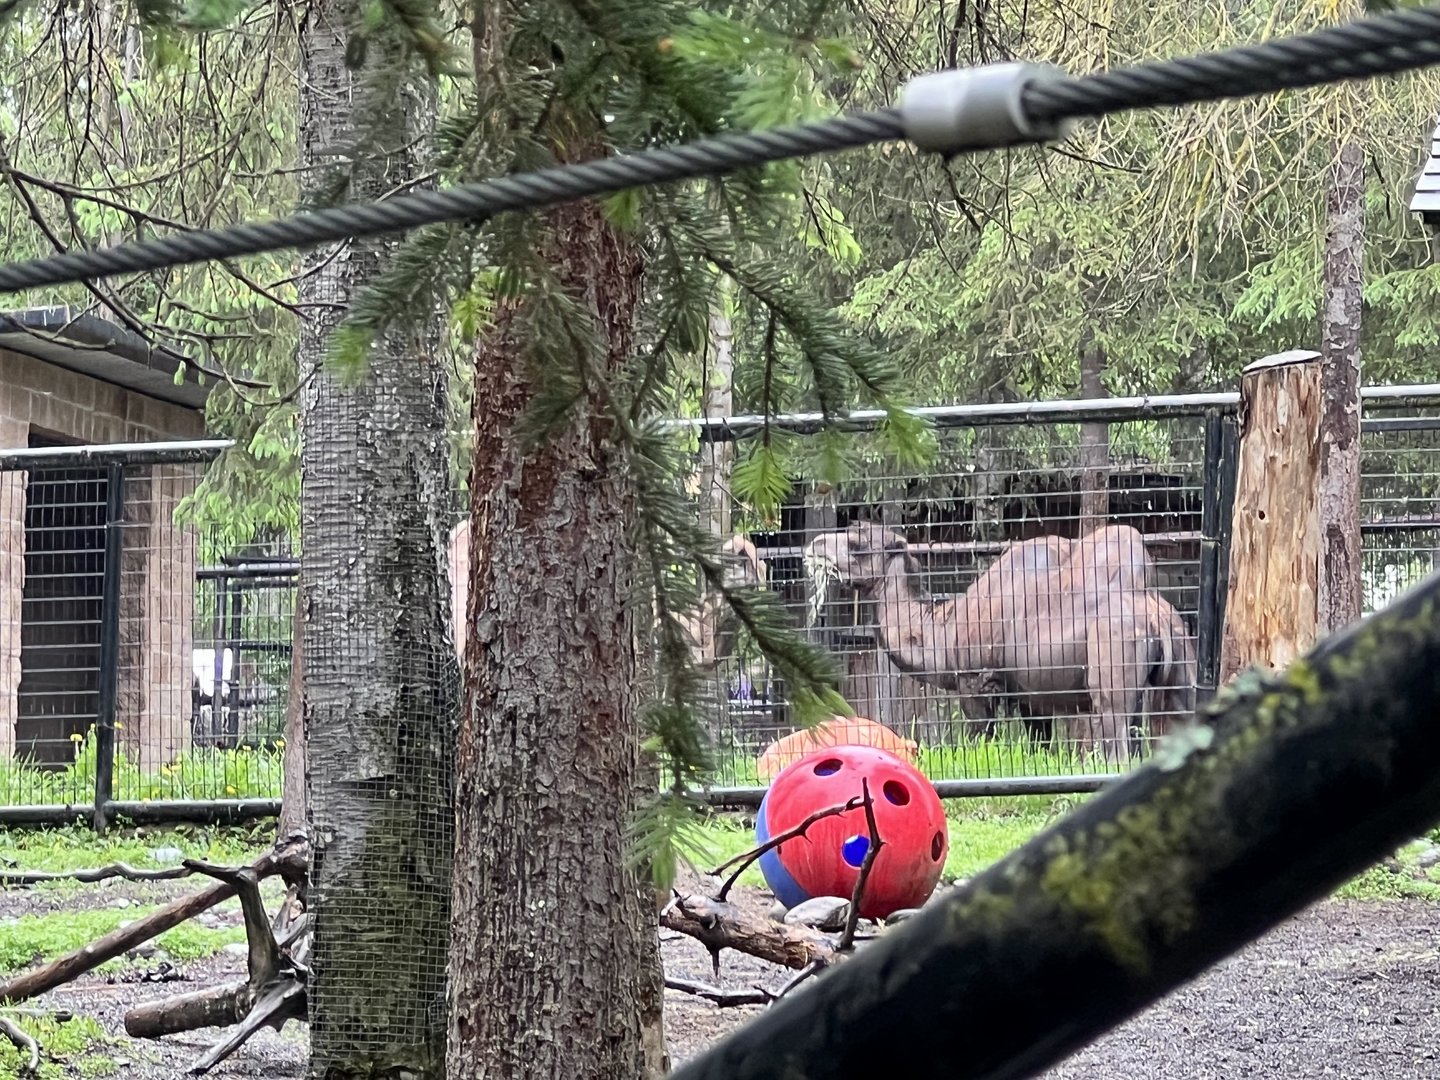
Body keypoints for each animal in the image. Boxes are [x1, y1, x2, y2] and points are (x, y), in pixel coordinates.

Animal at [803, 521, 1197, 767]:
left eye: (857, 543)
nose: (813, 545)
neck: (941, 629)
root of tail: (1158, 618)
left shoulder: (977, 680)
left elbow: (981, 737)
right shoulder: (1031, 693)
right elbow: (1040, 743)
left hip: (1113, 670)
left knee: (1117, 735)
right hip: (1182, 669)